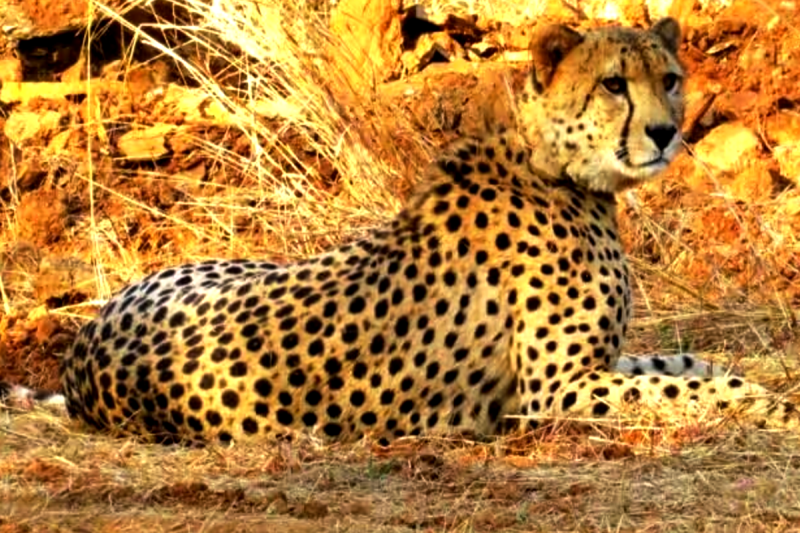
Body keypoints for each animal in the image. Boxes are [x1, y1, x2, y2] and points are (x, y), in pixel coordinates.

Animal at [45, 17, 798, 446]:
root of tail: (83, 347)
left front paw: (762, 385)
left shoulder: (597, 364)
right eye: (614, 84)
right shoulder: (555, 389)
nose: (666, 133)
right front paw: (774, 409)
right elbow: (690, 388)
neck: (554, 166)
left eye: (668, 79)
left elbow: (690, 365)